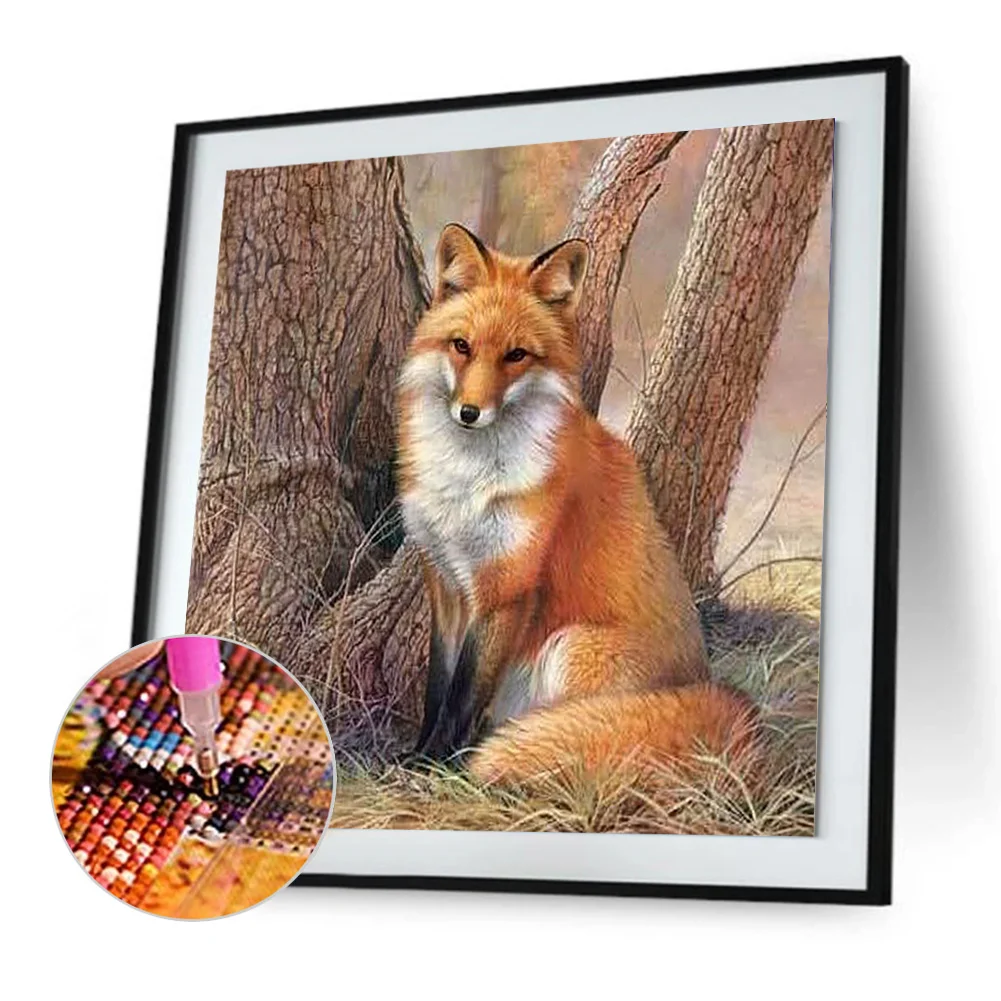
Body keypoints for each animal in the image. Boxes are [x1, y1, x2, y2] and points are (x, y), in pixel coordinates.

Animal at [396, 223, 757, 788]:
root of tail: (704, 685)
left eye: (516, 355)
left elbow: (464, 694)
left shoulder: (507, 588)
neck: (469, 482)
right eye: (461, 346)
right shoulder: (447, 583)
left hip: (570, 648)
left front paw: (437, 767)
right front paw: (416, 755)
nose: (469, 413)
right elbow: (439, 688)